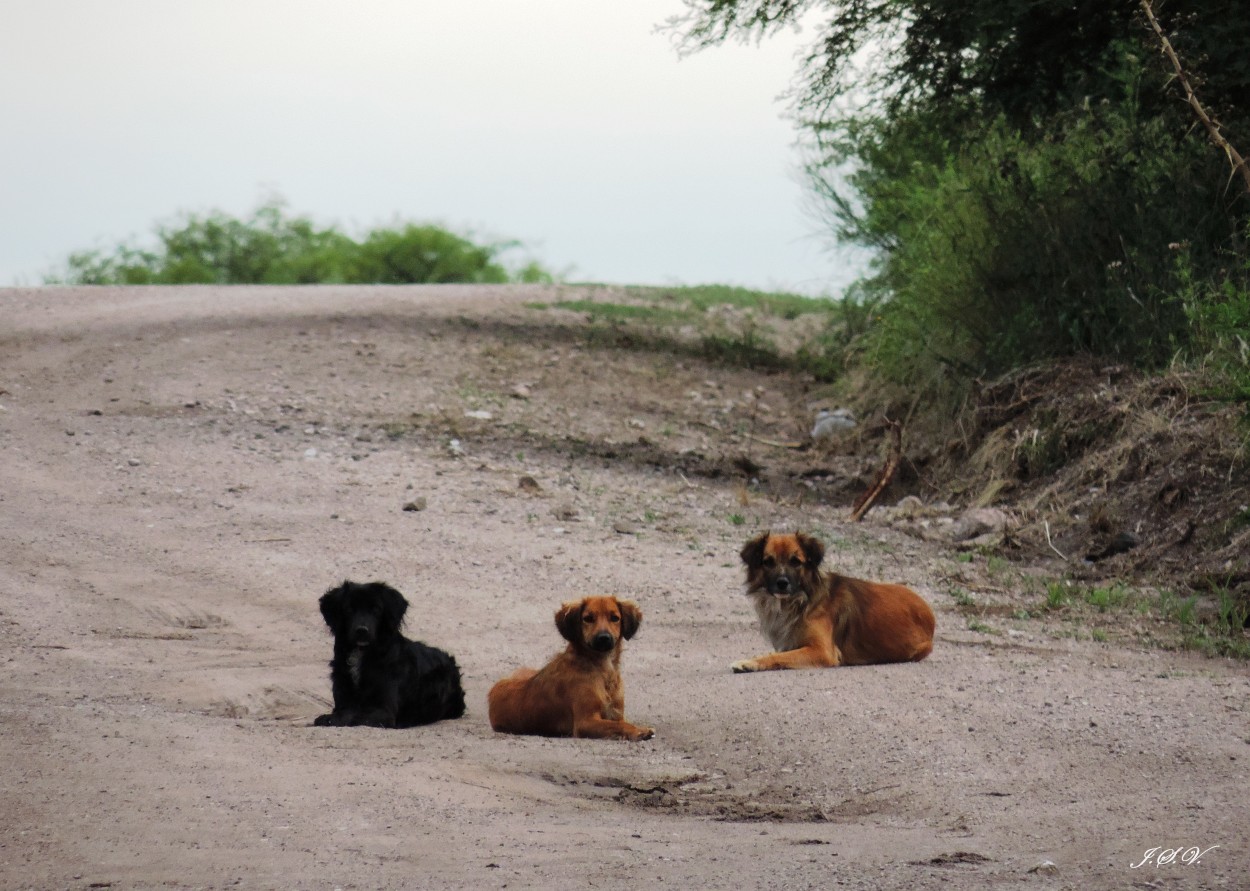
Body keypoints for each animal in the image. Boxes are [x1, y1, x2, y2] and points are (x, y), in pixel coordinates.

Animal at [315, 579, 467, 724]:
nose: (362, 630)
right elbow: (345, 711)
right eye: (348, 609)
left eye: (376, 609)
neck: (362, 653)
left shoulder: (384, 711)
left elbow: (355, 715)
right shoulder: (343, 700)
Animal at [485, 602, 655, 739]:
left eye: (615, 618)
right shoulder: (585, 722)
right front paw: (638, 732)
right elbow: (618, 725)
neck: (602, 669)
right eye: (588, 618)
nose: (604, 638)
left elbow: (621, 722)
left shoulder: (616, 714)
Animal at [735, 532, 935, 669]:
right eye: (768, 562)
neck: (801, 601)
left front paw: (749, 663)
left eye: (795, 561)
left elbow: (776, 657)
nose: (782, 583)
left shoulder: (822, 650)